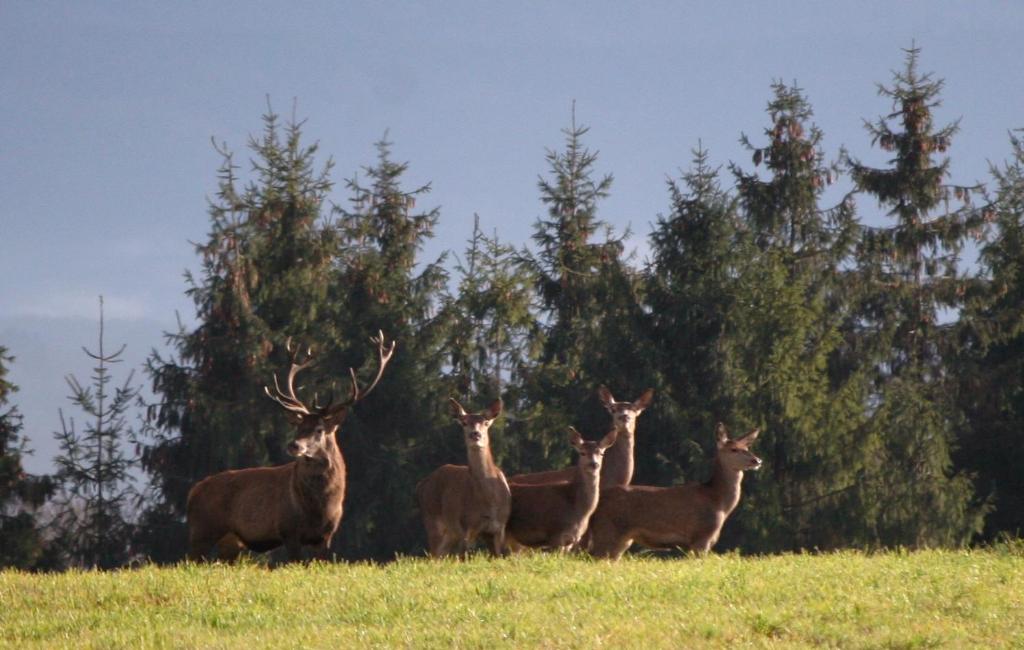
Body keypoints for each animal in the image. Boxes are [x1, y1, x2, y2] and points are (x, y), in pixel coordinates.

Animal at [186, 333, 393, 560]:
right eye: (298, 427)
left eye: (319, 430)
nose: (294, 445)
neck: (319, 509)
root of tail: (193, 492)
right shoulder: (288, 529)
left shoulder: (326, 535)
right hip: (202, 530)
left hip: (231, 542)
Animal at [413, 399, 509, 556]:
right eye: (464, 423)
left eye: (486, 422)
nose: (475, 434)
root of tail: (421, 484)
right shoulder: (466, 526)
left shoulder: (499, 528)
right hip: (433, 521)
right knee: (434, 555)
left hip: (451, 533)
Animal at [585, 421, 761, 560]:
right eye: (733, 449)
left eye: (747, 447)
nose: (757, 460)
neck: (718, 502)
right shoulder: (701, 535)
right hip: (607, 529)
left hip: (622, 539)